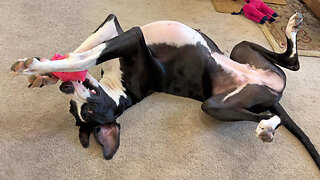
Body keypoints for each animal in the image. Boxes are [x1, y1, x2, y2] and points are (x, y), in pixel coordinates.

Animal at [10, 13, 320, 169]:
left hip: (241, 50)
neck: (119, 89)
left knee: (292, 63)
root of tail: (272, 89)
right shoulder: (130, 36)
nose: (66, 88)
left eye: (87, 108)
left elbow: (85, 51)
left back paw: (291, 27)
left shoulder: (122, 31)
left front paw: (44, 71)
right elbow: (86, 55)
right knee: (273, 105)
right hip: (217, 105)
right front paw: (44, 71)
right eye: (75, 109)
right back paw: (267, 126)